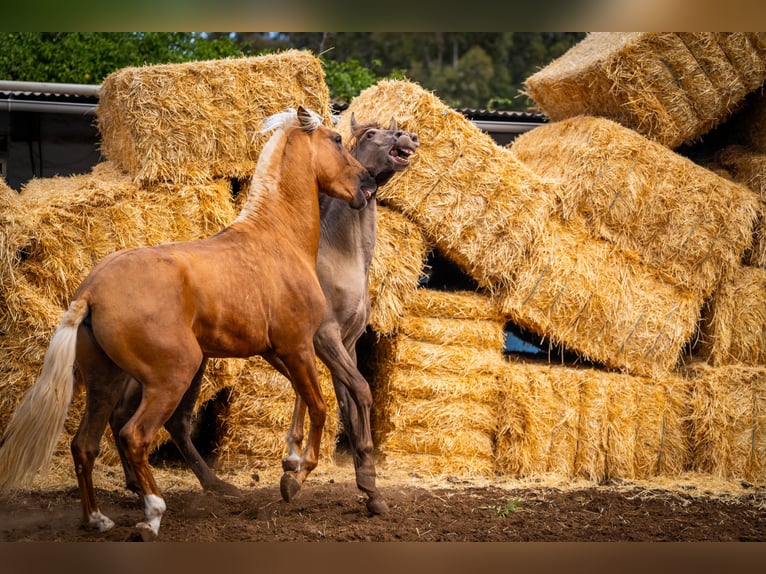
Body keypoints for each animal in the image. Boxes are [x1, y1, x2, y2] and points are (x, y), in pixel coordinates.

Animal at [0, 105, 377, 540]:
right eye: (336, 140)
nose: (367, 184)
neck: (277, 239)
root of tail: (91, 291)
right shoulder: (298, 346)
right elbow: (318, 406)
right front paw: (295, 478)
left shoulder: (278, 352)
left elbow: (310, 401)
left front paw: (295, 467)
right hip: (172, 375)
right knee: (135, 435)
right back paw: (152, 513)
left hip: (105, 382)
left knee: (85, 444)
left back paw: (97, 519)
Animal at [110, 115, 419, 515]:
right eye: (369, 134)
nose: (407, 136)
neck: (338, 255)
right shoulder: (321, 340)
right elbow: (349, 393)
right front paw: (296, 469)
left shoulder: (345, 344)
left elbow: (346, 403)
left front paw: (368, 488)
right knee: (149, 420)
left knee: (144, 419)